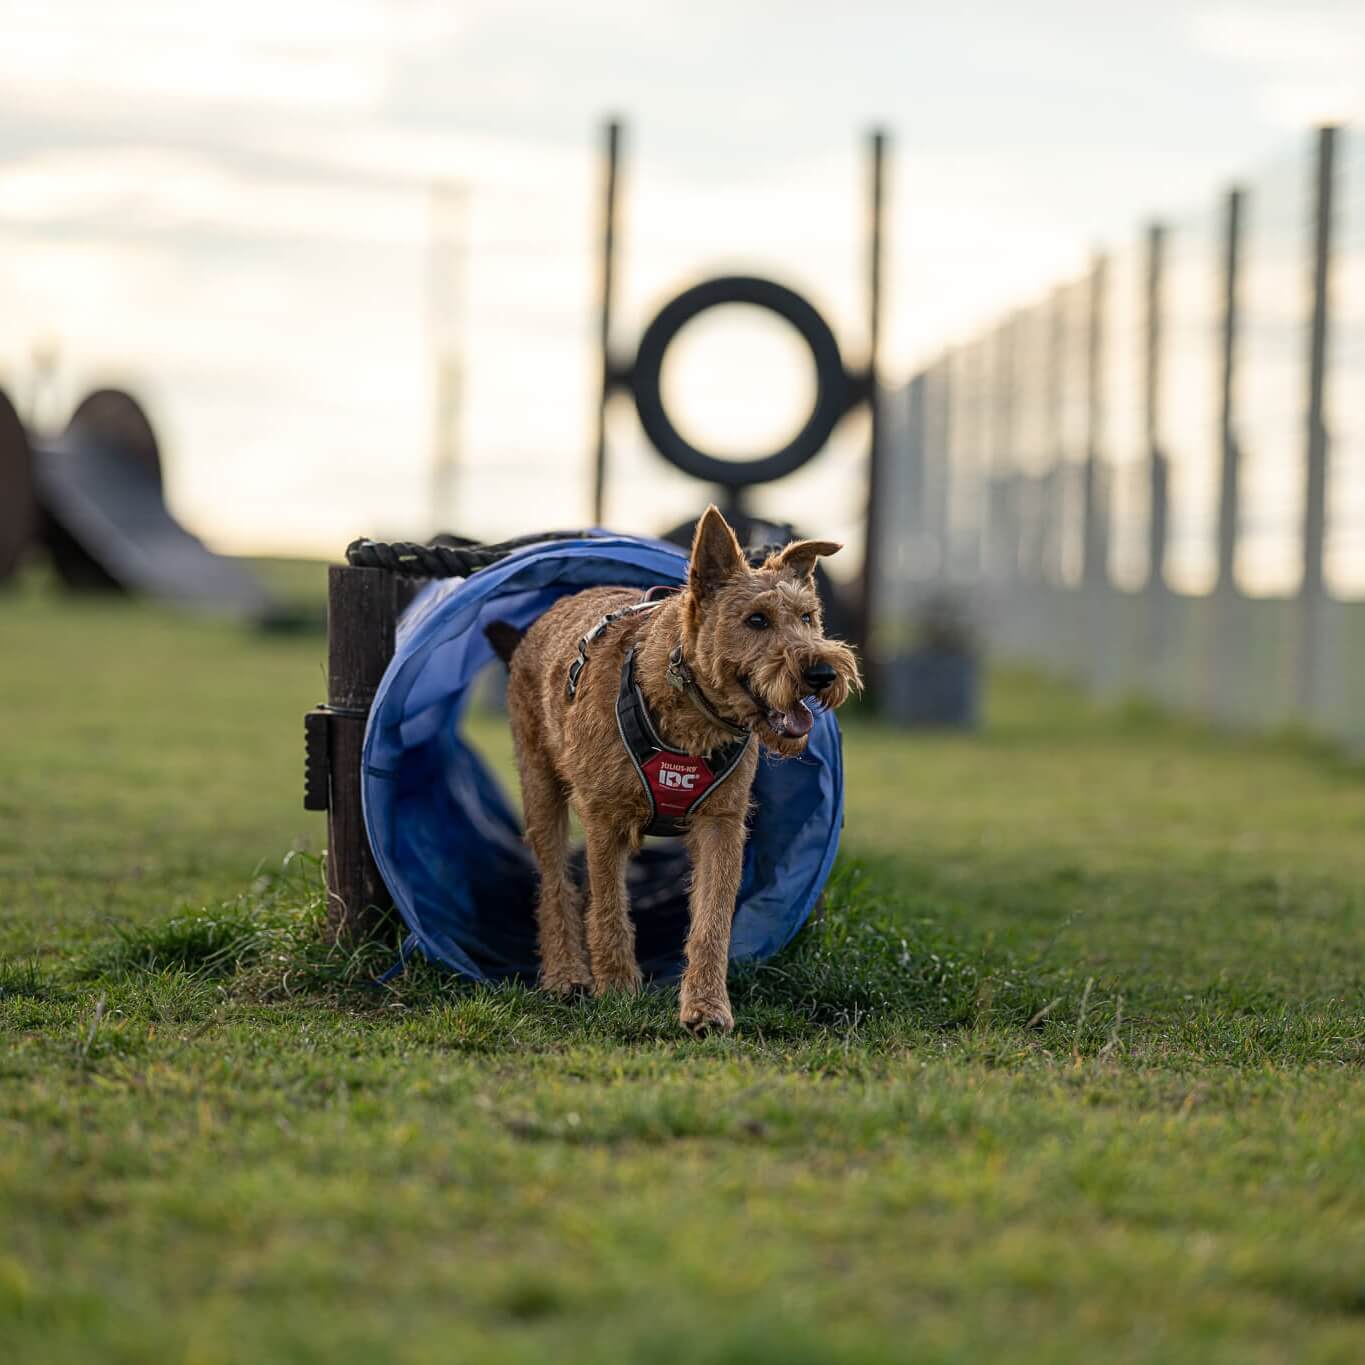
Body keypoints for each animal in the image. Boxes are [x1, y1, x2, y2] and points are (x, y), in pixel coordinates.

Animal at [491, 510, 857, 1031]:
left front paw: (706, 1007)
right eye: (756, 619)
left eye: (807, 617)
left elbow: (712, 919)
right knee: (555, 884)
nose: (823, 674)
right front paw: (617, 988)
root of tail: (550, 612)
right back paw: (566, 974)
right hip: (540, 788)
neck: (689, 705)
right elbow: (607, 906)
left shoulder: (722, 823)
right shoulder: (604, 817)